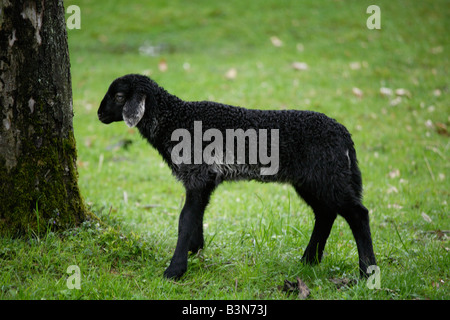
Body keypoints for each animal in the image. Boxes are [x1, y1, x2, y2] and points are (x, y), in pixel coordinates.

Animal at [97, 74, 376, 278]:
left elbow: (185, 218)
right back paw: (309, 260)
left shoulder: (197, 175)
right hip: (311, 181)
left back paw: (366, 271)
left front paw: (174, 270)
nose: (99, 114)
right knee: (326, 213)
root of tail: (345, 134)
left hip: (328, 176)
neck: (176, 121)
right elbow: (196, 215)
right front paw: (195, 250)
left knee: (357, 214)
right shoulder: (204, 179)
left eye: (119, 96)